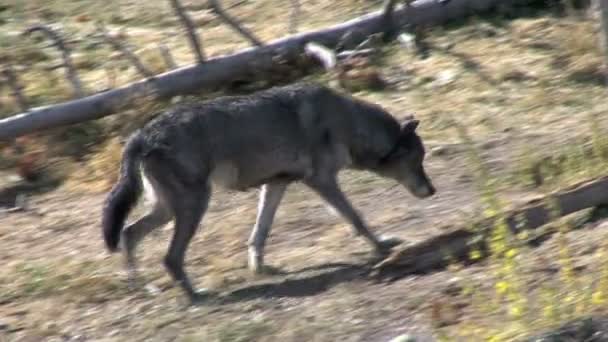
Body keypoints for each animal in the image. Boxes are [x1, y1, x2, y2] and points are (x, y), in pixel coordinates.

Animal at [103, 81, 436, 304]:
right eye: (419, 160)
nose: (432, 190)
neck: (348, 121)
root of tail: (141, 134)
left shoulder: (276, 184)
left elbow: (259, 234)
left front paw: (259, 267)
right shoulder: (322, 181)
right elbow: (357, 219)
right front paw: (381, 247)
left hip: (169, 209)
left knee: (128, 234)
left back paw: (140, 288)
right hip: (193, 207)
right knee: (169, 257)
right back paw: (195, 295)